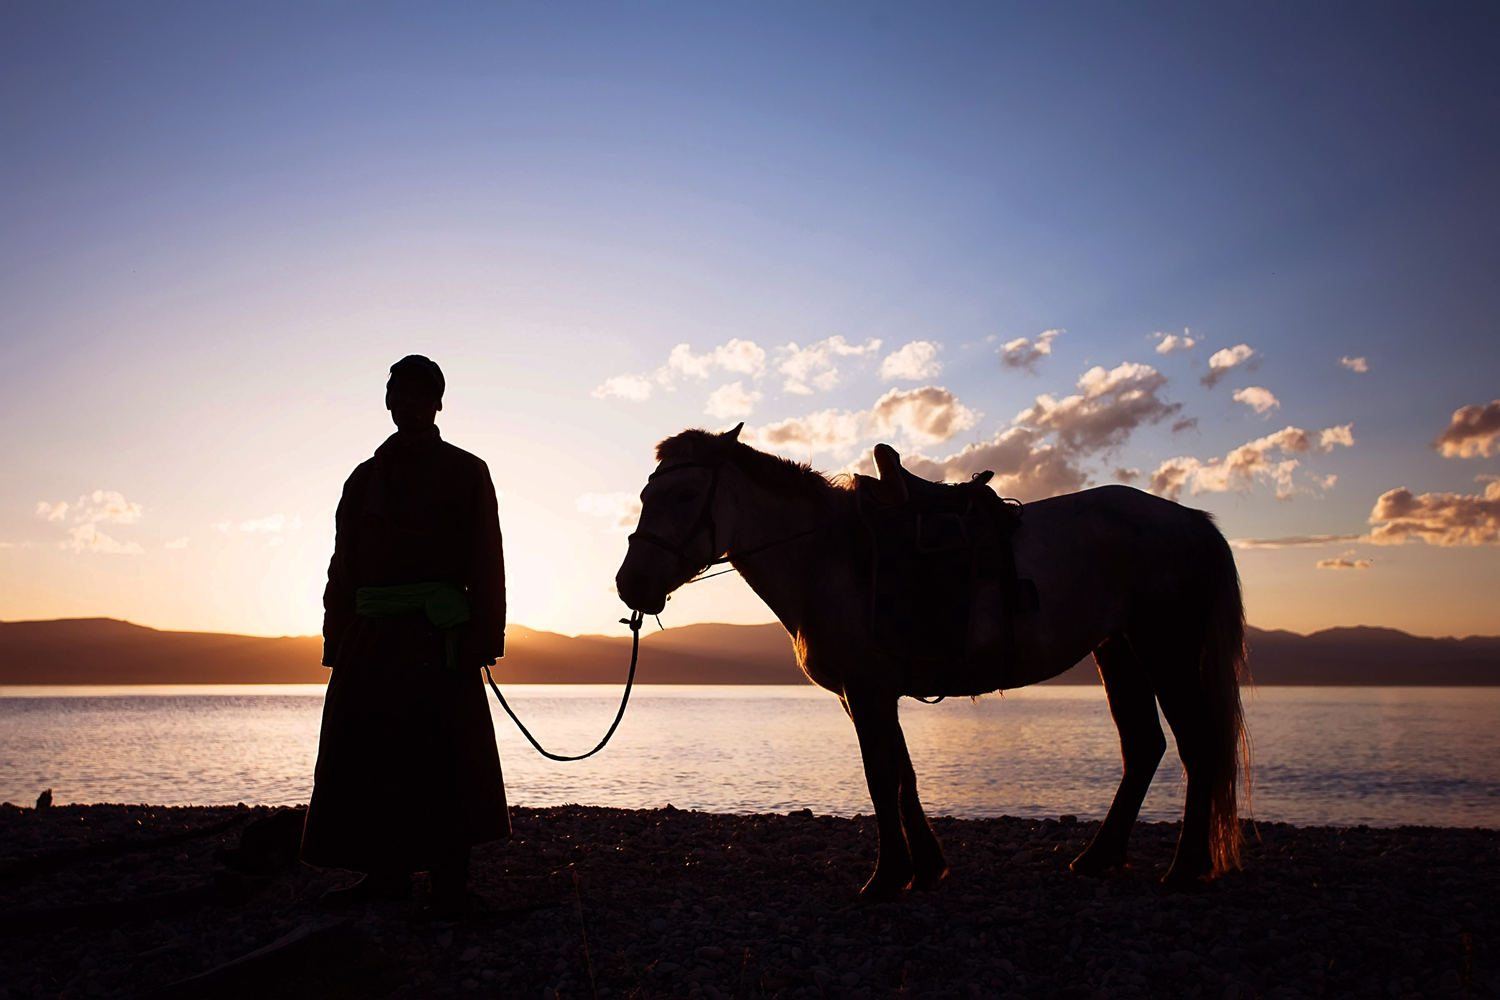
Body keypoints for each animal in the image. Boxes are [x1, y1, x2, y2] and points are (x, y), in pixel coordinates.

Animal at [612, 422, 1254, 899]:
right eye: (645, 496)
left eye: (685, 496)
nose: (631, 584)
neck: (828, 555)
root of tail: (1191, 521)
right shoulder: (866, 694)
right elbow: (904, 776)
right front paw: (924, 867)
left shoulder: (868, 690)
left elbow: (881, 776)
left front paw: (887, 876)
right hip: (1117, 650)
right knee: (1144, 745)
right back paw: (1099, 856)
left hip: (1164, 648)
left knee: (1197, 745)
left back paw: (1186, 867)